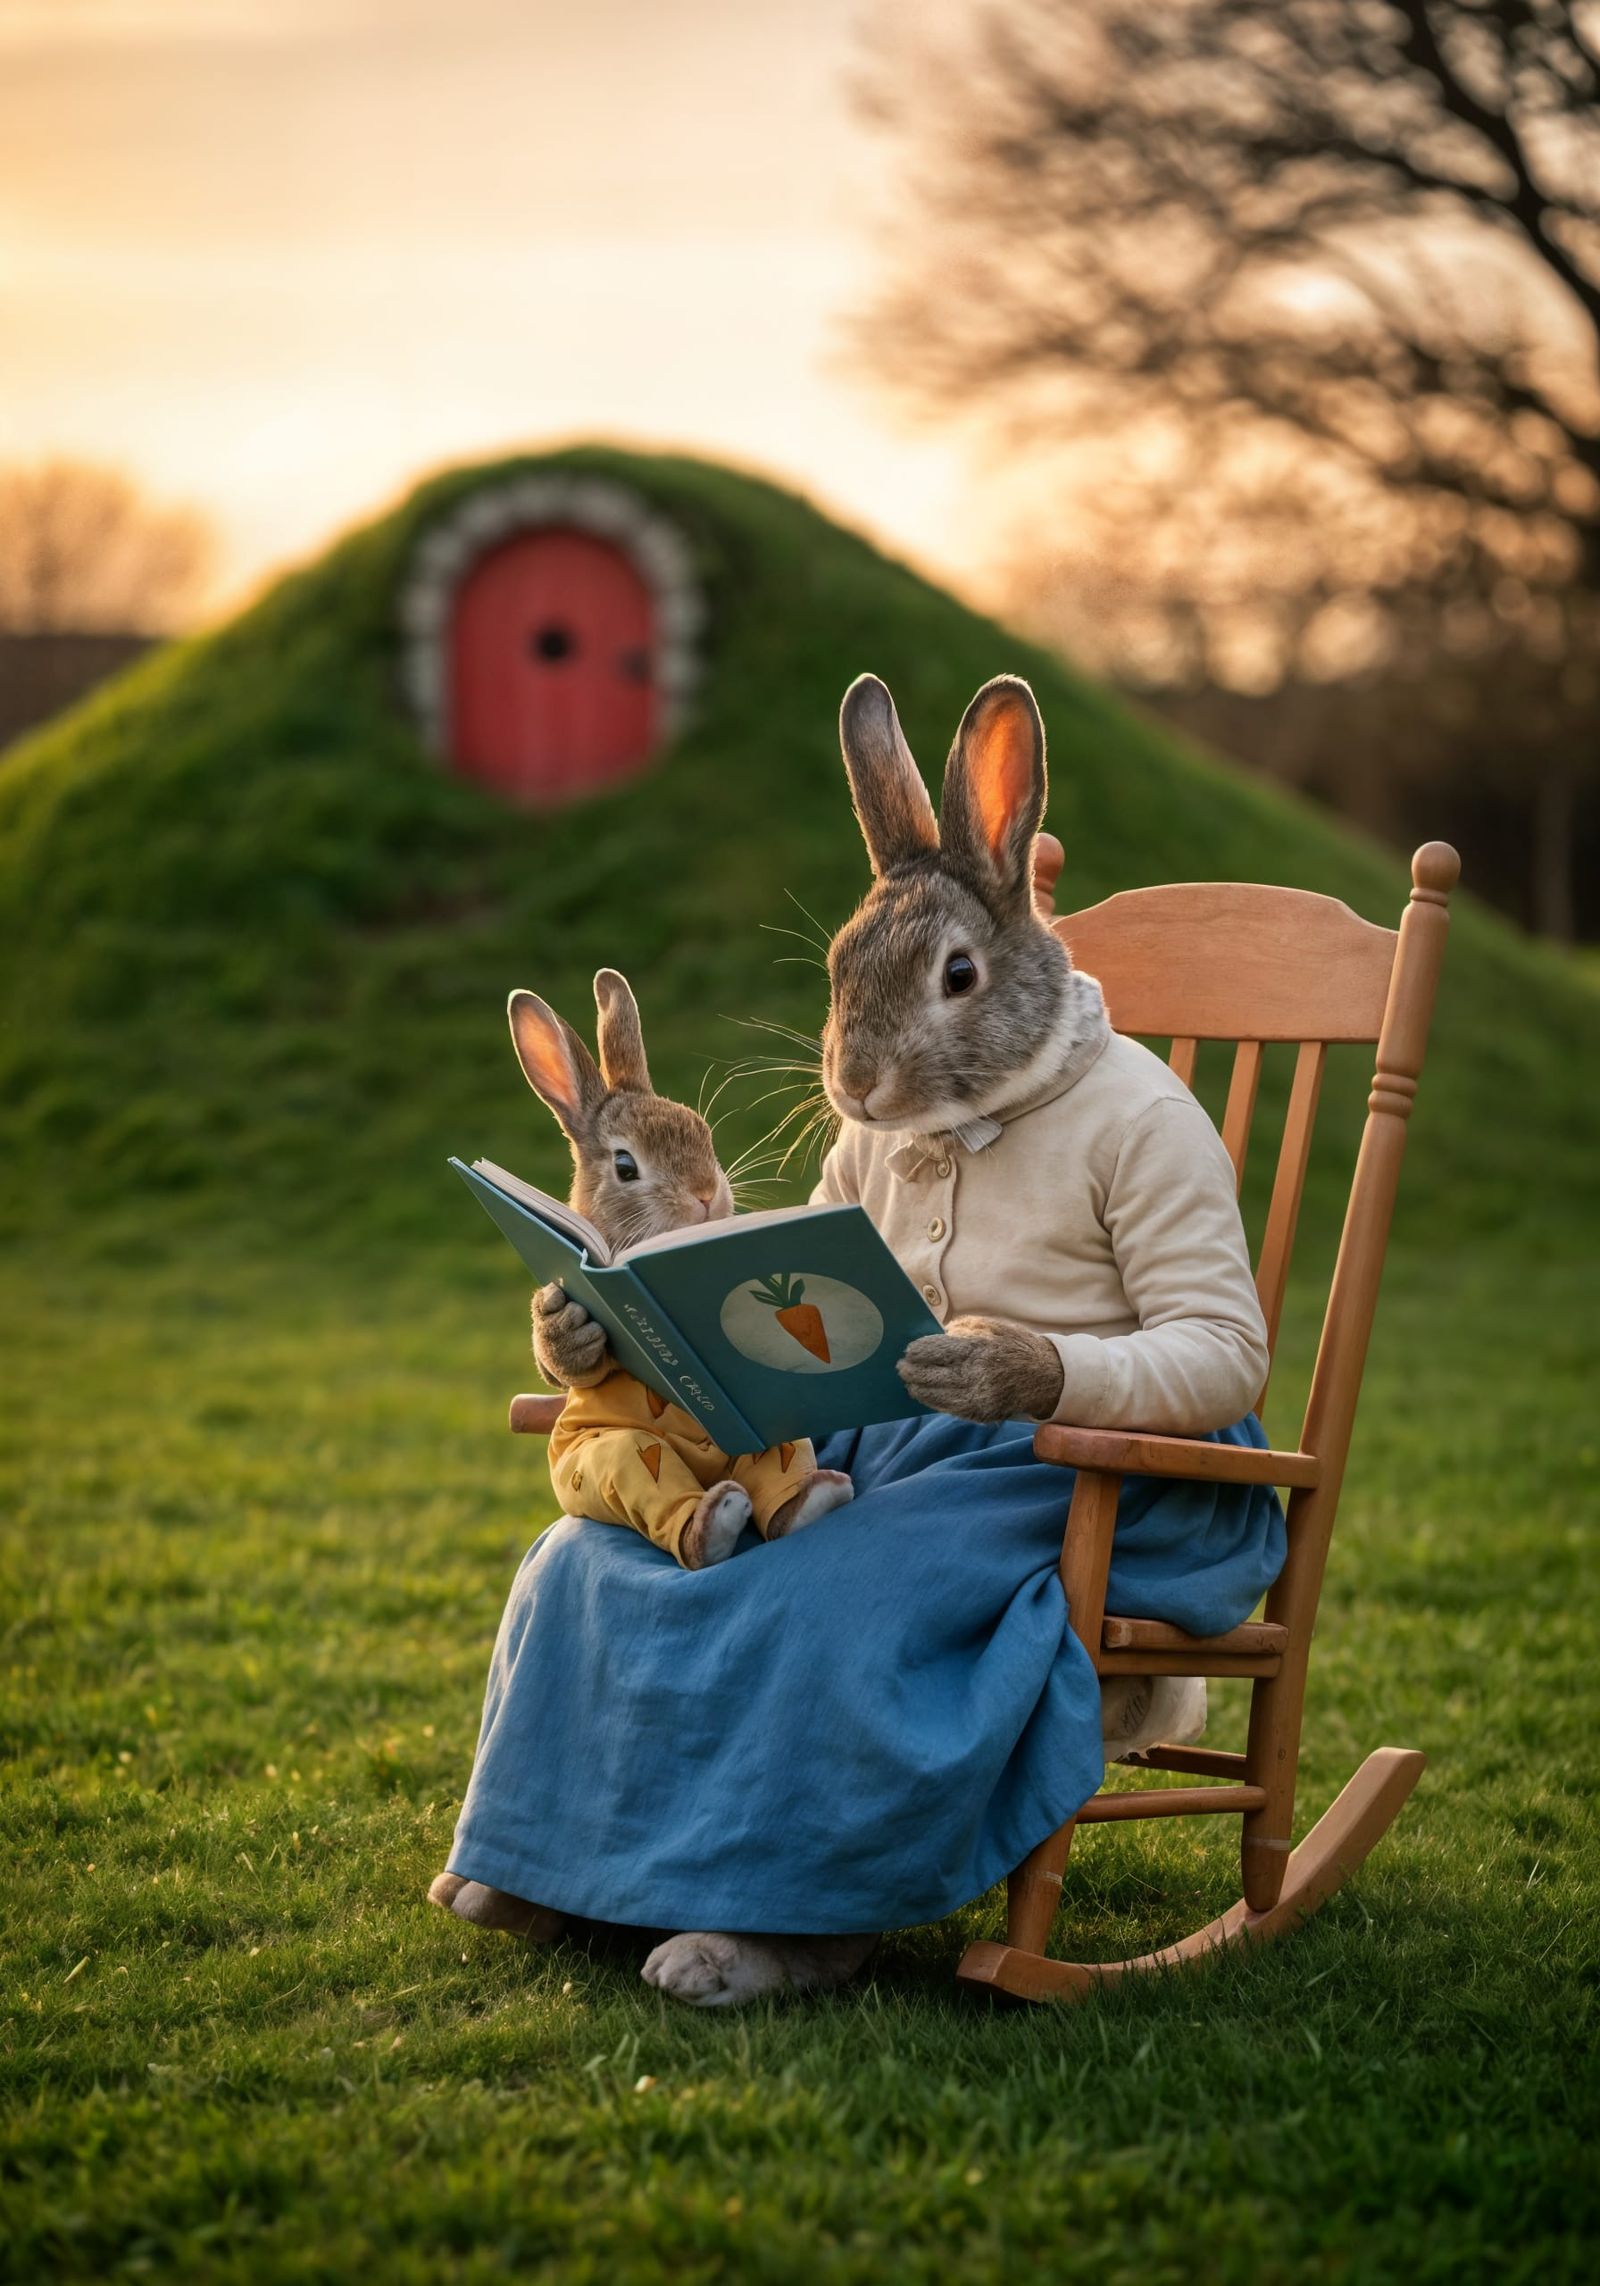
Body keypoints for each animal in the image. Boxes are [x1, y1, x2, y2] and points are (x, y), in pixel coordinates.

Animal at [508, 968, 854, 1570]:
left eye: (701, 1131)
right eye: (625, 1166)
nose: (706, 1194)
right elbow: (563, 1365)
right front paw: (569, 1335)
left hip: (772, 1433)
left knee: (779, 1459)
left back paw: (811, 1500)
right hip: (615, 1457)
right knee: (644, 1470)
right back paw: (709, 1526)